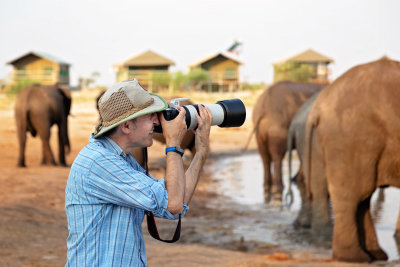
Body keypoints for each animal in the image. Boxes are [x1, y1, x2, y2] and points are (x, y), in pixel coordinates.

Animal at [304, 57, 400, 262]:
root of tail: (320, 104)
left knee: (362, 198)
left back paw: (376, 254)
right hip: (352, 137)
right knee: (355, 194)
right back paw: (356, 258)